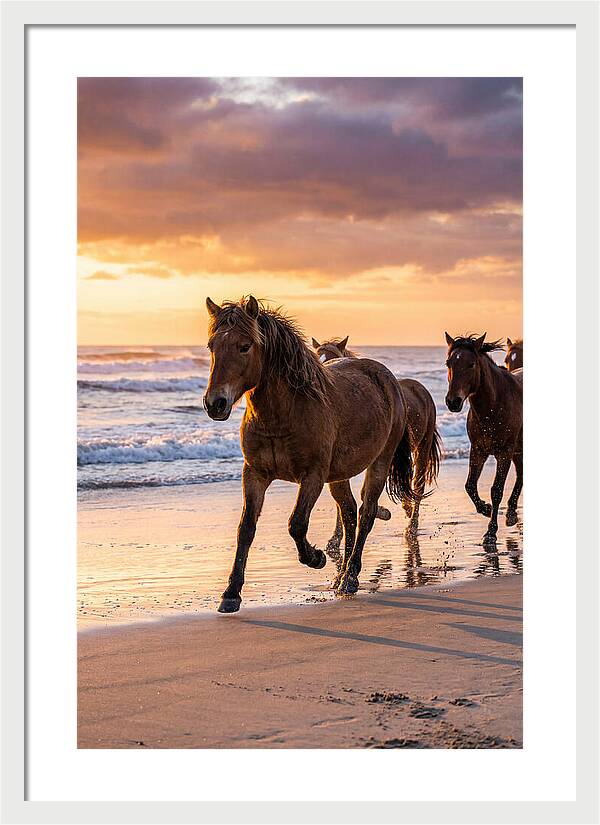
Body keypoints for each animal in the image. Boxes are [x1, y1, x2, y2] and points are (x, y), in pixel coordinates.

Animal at [203, 296, 415, 612]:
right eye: (211, 346)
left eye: (244, 346)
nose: (215, 403)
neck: (284, 413)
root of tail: (389, 379)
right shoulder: (254, 474)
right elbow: (246, 528)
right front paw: (231, 593)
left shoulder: (312, 476)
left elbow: (296, 524)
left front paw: (316, 558)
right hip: (338, 476)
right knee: (349, 513)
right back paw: (340, 577)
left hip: (379, 463)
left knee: (365, 513)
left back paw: (350, 576)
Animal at [312, 336, 442, 536]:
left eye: (333, 358)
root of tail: (420, 389)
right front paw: (336, 537)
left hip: (422, 448)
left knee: (417, 485)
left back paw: (411, 524)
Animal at [444, 332, 523, 544]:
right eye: (448, 363)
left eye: (471, 364)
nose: (453, 402)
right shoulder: (478, 450)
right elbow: (470, 485)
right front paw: (485, 509)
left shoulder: (504, 452)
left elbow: (496, 490)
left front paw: (490, 532)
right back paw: (511, 513)